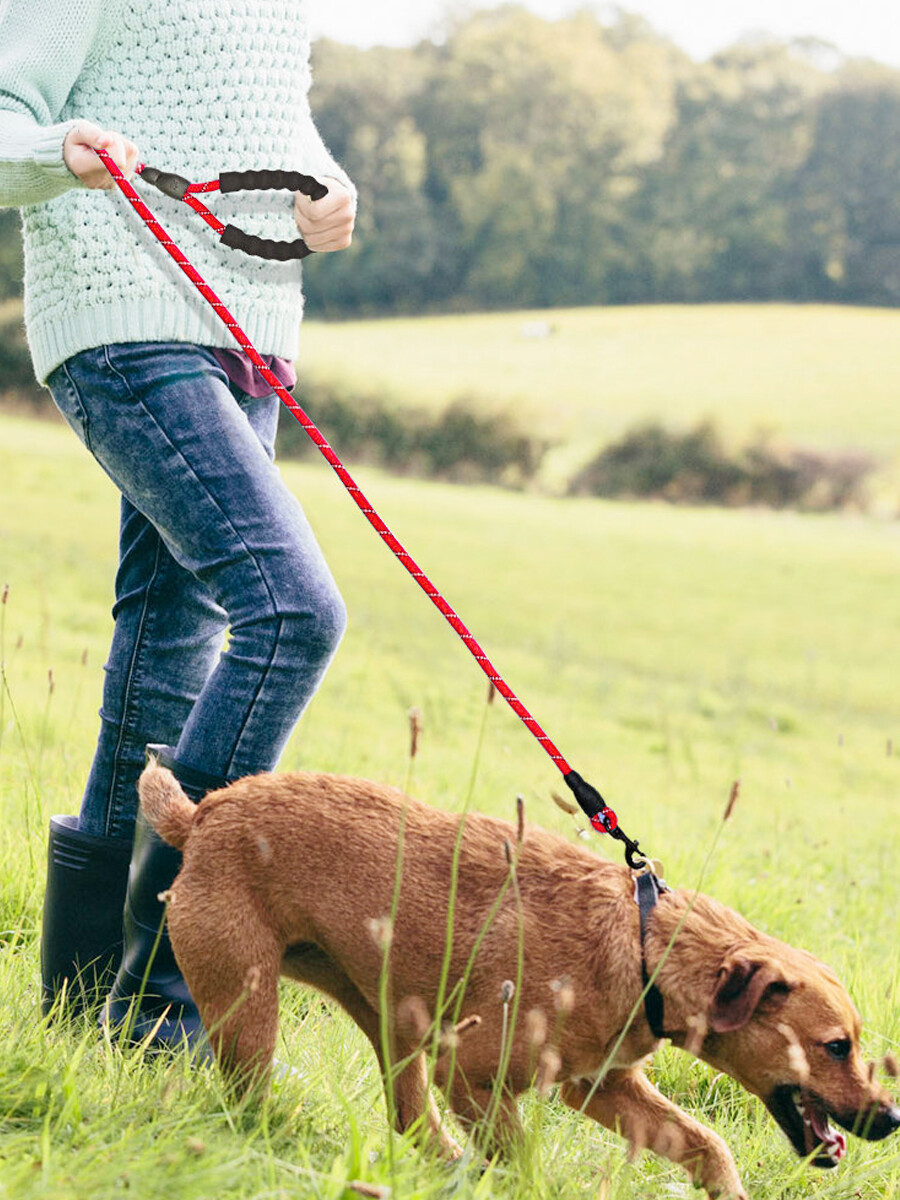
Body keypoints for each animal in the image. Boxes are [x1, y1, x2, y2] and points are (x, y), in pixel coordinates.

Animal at [137, 763, 897, 1195]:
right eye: (835, 1046)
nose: (891, 1119)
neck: (643, 945)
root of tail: (204, 812)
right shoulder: (473, 1076)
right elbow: (523, 1162)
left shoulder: (602, 1087)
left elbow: (707, 1145)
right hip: (250, 1012)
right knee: (248, 1103)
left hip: (392, 1020)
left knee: (412, 1123)